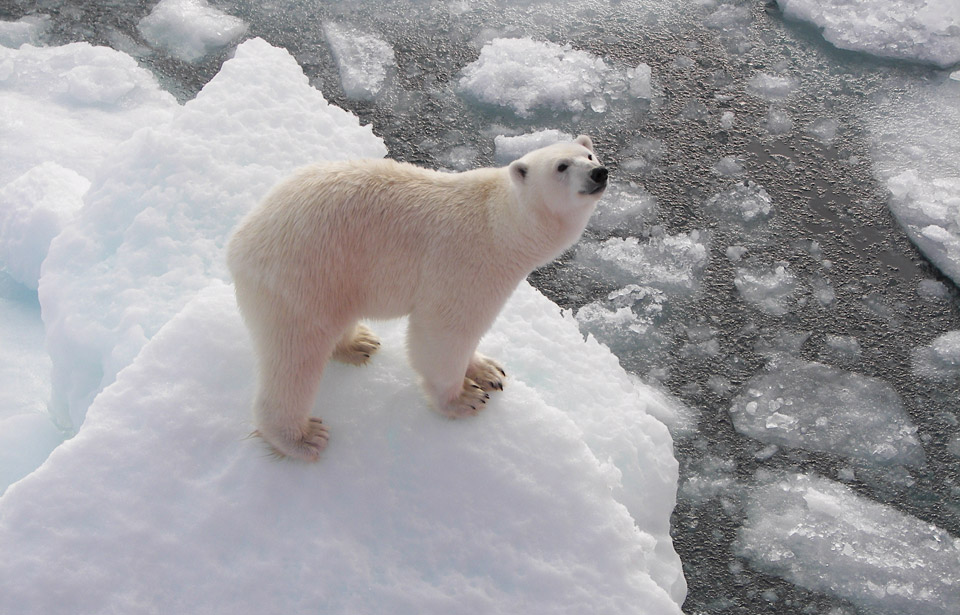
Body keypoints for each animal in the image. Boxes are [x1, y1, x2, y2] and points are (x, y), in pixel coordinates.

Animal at [227, 136, 608, 462]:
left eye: (590, 155)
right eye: (561, 166)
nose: (599, 173)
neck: (502, 223)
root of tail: (240, 242)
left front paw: (488, 370)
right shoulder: (467, 264)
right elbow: (444, 333)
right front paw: (465, 397)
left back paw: (358, 343)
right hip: (302, 275)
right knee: (295, 356)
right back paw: (301, 437)